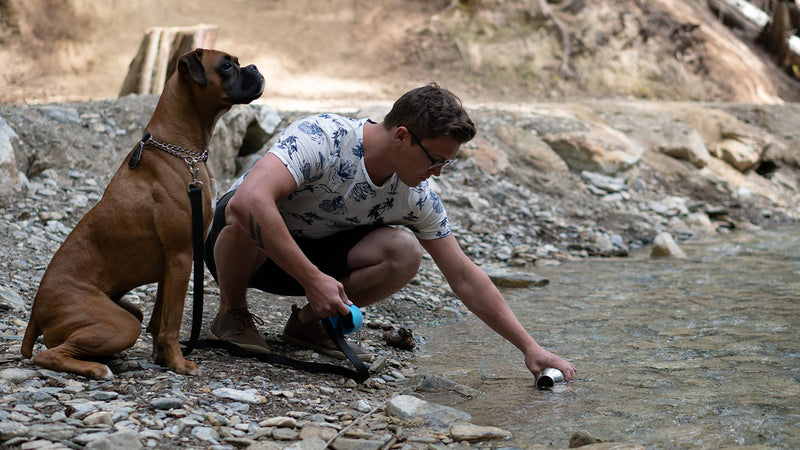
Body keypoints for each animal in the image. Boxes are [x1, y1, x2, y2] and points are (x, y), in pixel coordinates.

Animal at [20, 49, 266, 380]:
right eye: (227, 65)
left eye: (238, 62)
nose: (254, 67)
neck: (182, 150)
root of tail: (35, 312)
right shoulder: (181, 256)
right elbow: (172, 322)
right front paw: (179, 363)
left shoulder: (170, 266)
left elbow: (159, 319)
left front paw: (163, 358)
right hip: (120, 323)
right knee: (48, 355)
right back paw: (97, 368)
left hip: (128, 311)